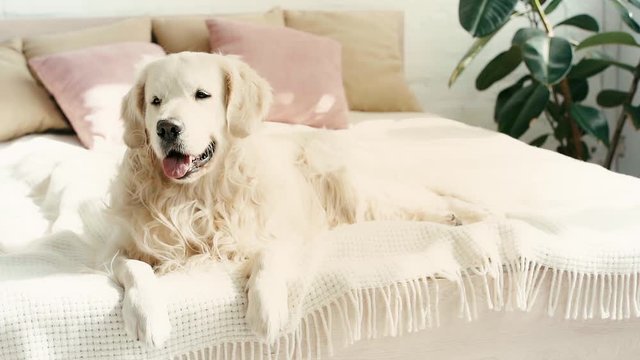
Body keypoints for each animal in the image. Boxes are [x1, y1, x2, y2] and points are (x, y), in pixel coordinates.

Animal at [107, 52, 482, 348]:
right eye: (155, 101)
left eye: (202, 95)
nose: (167, 128)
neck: (194, 197)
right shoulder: (116, 249)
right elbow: (135, 267)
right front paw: (147, 316)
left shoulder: (282, 231)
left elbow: (268, 257)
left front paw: (267, 310)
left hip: (357, 190)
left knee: (425, 199)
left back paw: (466, 216)